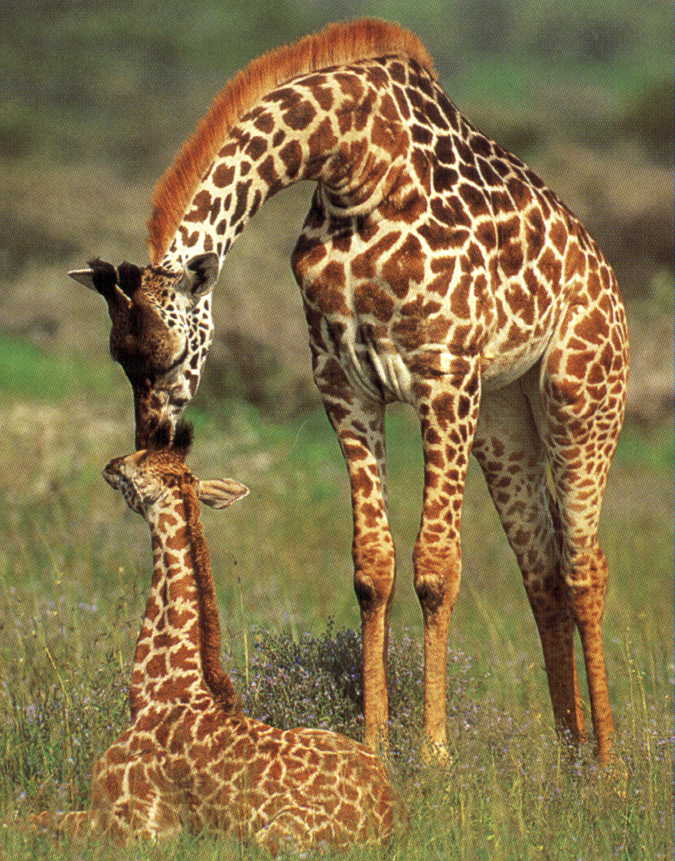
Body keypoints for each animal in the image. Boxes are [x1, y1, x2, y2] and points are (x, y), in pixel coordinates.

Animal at [31, 420, 398, 848]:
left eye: (137, 464)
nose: (111, 463)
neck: (155, 693)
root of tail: (392, 820)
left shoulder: (136, 825)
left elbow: (27, 819)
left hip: (277, 836)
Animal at [70, 18, 628, 760]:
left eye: (172, 352)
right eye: (118, 356)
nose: (151, 444)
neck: (353, 166)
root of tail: (609, 284)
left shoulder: (443, 376)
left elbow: (436, 567)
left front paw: (435, 753)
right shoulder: (343, 383)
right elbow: (372, 567)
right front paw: (373, 742)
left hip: (581, 397)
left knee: (584, 566)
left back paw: (609, 763)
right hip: (505, 421)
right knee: (540, 569)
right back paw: (567, 754)